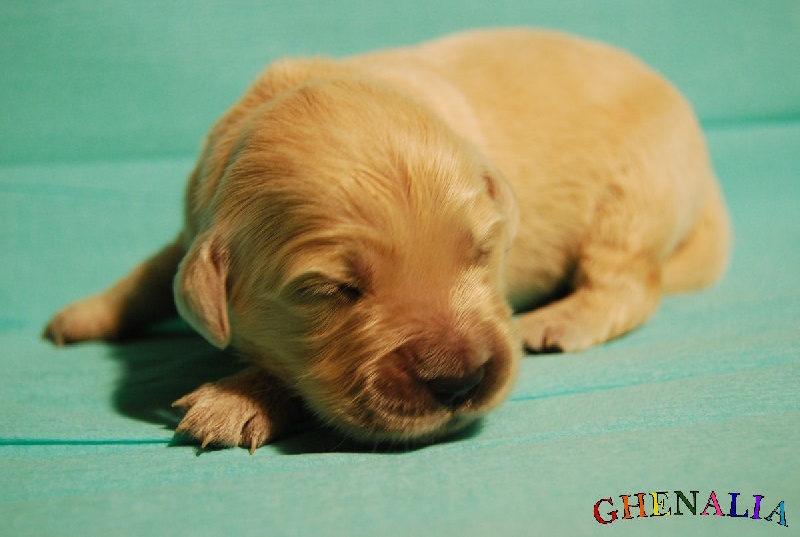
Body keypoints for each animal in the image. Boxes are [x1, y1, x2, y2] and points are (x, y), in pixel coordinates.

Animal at [44, 29, 730, 451]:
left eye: (482, 253)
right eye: (333, 291)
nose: (460, 382)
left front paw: (235, 397)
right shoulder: (194, 224)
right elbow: (154, 274)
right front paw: (85, 314)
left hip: (635, 195)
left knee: (630, 287)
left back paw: (558, 320)